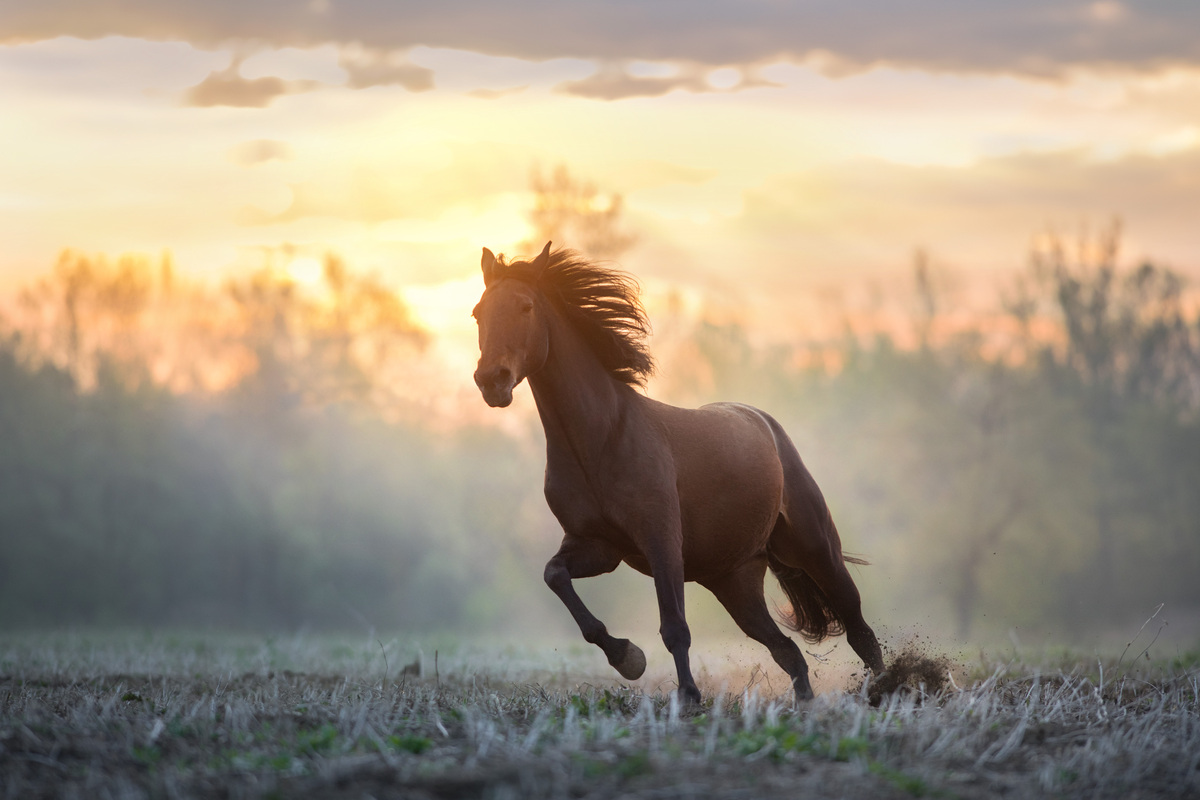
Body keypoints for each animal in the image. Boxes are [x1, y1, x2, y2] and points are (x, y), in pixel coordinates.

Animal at [471, 242, 885, 704]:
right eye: (478, 312)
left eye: (525, 306)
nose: (491, 381)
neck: (601, 439)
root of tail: (764, 423)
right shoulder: (597, 546)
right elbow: (555, 576)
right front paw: (627, 657)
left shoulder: (661, 540)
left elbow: (674, 626)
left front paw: (687, 696)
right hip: (735, 583)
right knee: (789, 652)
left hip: (815, 548)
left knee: (859, 629)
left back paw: (888, 689)